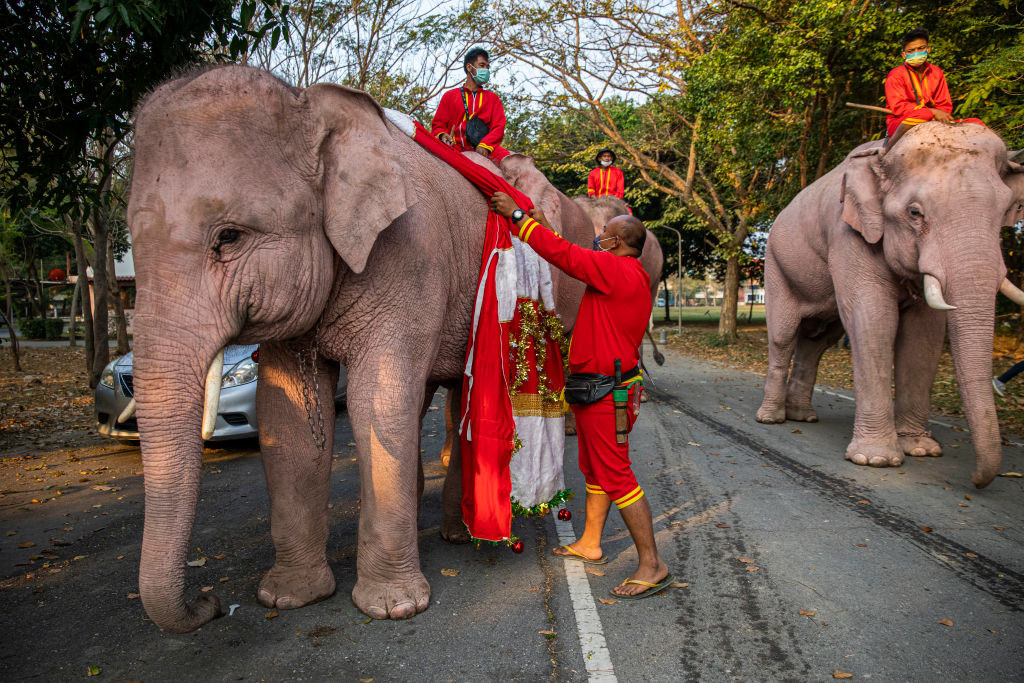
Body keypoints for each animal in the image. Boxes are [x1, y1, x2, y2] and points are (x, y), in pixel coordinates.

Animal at [125, 66, 512, 634]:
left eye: (229, 236)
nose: (210, 603)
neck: (312, 105)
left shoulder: (410, 256)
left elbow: (378, 399)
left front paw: (393, 608)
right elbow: (283, 417)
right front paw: (288, 598)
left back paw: (460, 536)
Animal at [753, 121, 1024, 485]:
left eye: (1004, 213)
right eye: (915, 212)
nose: (976, 480)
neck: (886, 152)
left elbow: (924, 334)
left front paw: (921, 449)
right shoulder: (848, 234)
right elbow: (873, 317)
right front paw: (876, 459)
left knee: (815, 341)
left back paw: (803, 416)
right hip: (777, 266)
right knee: (783, 336)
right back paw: (771, 418)